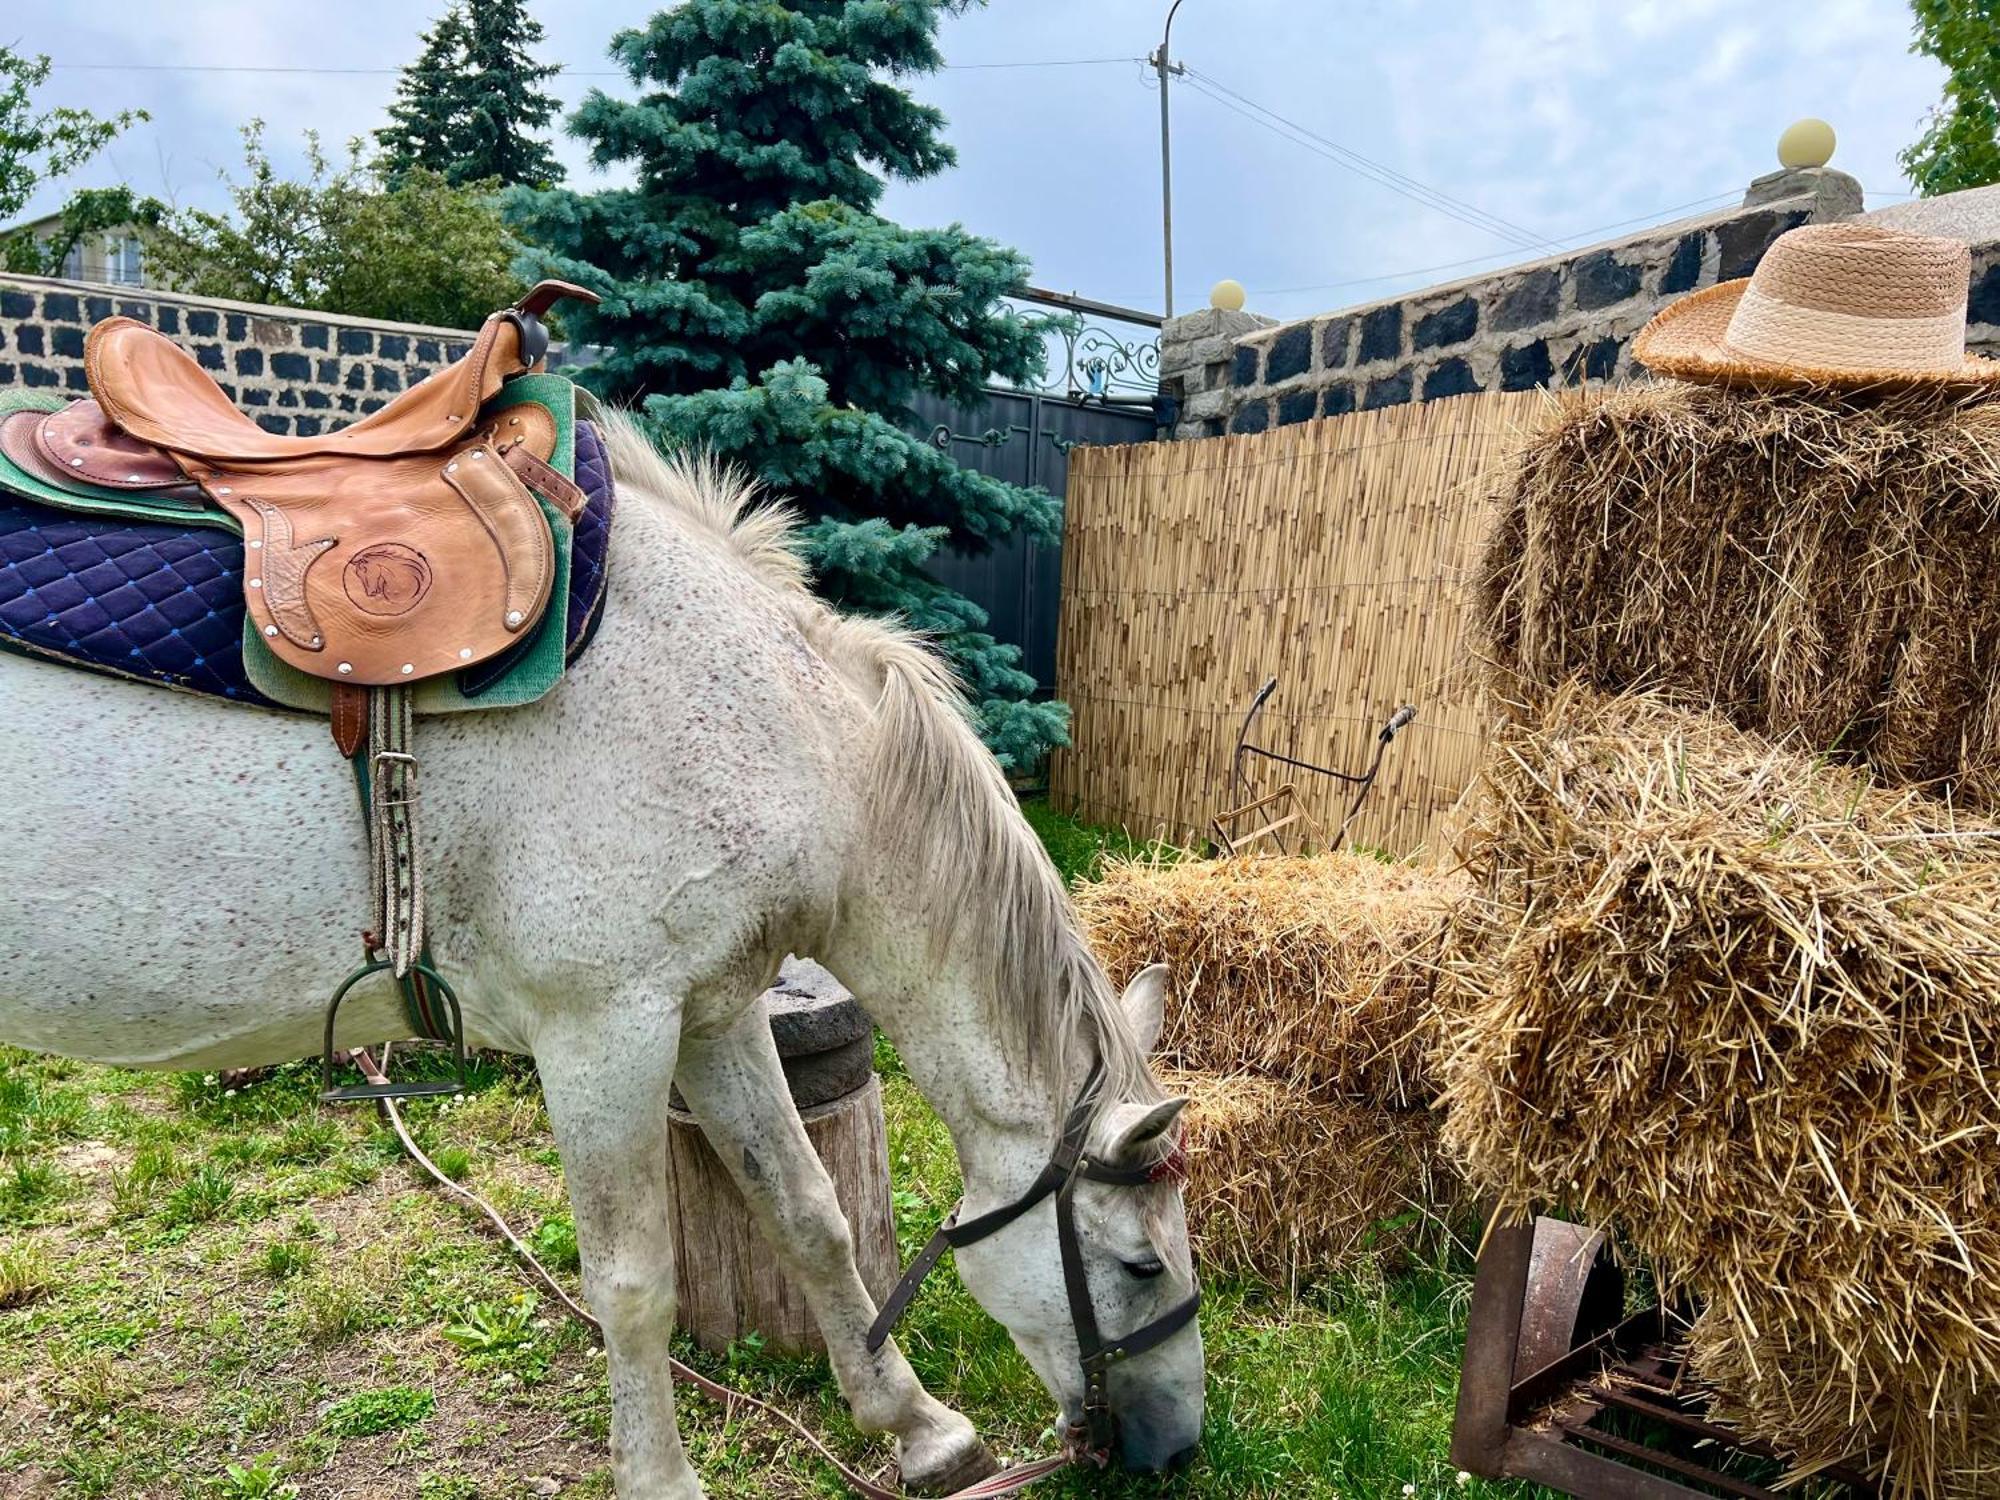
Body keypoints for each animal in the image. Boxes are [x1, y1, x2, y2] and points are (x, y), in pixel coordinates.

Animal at [0, 414, 1200, 1500]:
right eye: (1139, 1265)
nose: (1177, 1449)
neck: (777, 732)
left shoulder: (715, 1013)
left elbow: (809, 1215)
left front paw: (918, 1430)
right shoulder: (602, 1036)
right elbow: (633, 1285)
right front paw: (662, 1480)